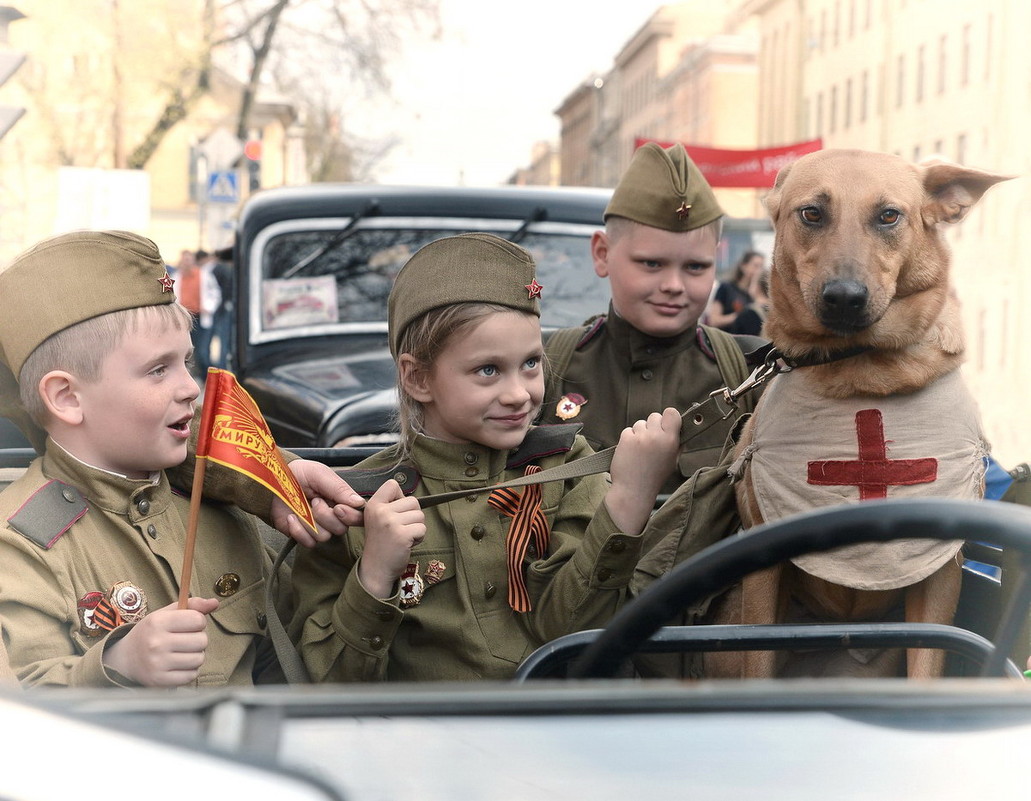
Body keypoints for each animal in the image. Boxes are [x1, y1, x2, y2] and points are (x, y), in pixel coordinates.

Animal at [713, 148, 1010, 676]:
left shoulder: (940, 574)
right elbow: (757, 659)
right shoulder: (762, 569)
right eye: (812, 213)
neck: (861, 370)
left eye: (889, 215)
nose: (845, 298)